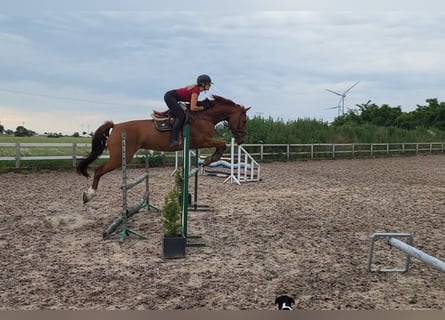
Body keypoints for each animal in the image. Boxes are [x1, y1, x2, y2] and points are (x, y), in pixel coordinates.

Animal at [76, 95, 250, 204]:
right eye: (244, 120)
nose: (241, 140)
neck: (204, 116)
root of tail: (116, 126)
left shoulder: (198, 144)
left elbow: (221, 145)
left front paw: (209, 159)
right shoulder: (202, 141)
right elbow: (222, 144)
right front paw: (210, 159)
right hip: (119, 158)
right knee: (98, 171)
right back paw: (89, 195)